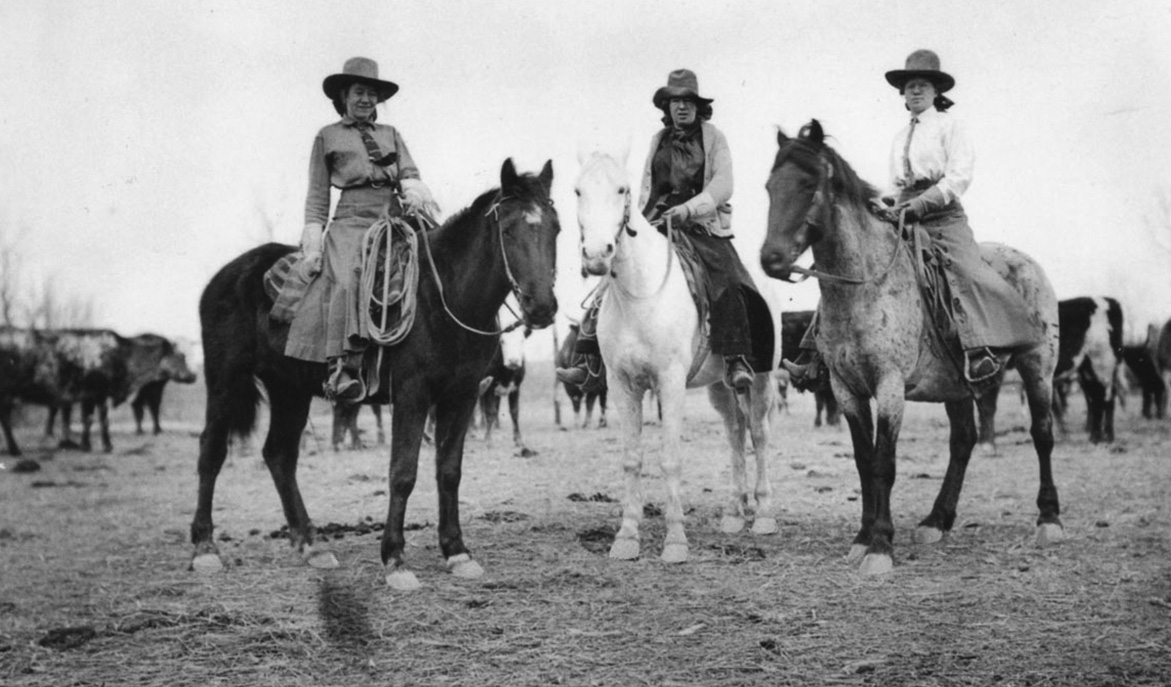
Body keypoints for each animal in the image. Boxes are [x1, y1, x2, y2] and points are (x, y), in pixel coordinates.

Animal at [0, 330, 194, 456]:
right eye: (181, 356)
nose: (194, 375)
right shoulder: (97, 393)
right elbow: (98, 419)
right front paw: (102, 445)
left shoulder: (94, 396)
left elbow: (93, 419)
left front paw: (90, 445)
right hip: (7, 393)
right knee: (6, 420)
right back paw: (15, 450)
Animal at [190, 159, 557, 589]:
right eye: (508, 230)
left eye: (555, 227)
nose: (542, 307)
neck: (444, 297)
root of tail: (226, 275)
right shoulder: (413, 395)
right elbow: (403, 473)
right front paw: (395, 558)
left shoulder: (462, 396)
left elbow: (449, 472)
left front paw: (457, 551)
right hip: (225, 380)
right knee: (212, 451)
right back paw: (205, 547)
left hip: (289, 391)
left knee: (279, 455)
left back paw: (310, 544)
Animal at [573, 150, 777, 564]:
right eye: (577, 191)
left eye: (621, 189)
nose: (597, 256)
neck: (641, 293)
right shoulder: (622, 385)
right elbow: (632, 459)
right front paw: (627, 536)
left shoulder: (670, 382)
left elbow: (670, 458)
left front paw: (676, 540)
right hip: (721, 387)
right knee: (736, 433)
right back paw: (734, 513)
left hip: (762, 380)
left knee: (759, 434)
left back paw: (763, 514)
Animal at [754, 122, 1067, 575]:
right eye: (769, 186)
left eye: (809, 184)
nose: (772, 259)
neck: (865, 286)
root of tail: (1029, 265)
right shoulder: (846, 389)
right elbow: (864, 461)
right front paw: (862, 538)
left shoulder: (889, 386)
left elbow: (885, 463)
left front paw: (881, 545)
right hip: (958, 384)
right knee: (963, 441)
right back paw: (937, 520)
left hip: (1038, 366)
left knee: (1042, 433)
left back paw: (1049, 519)